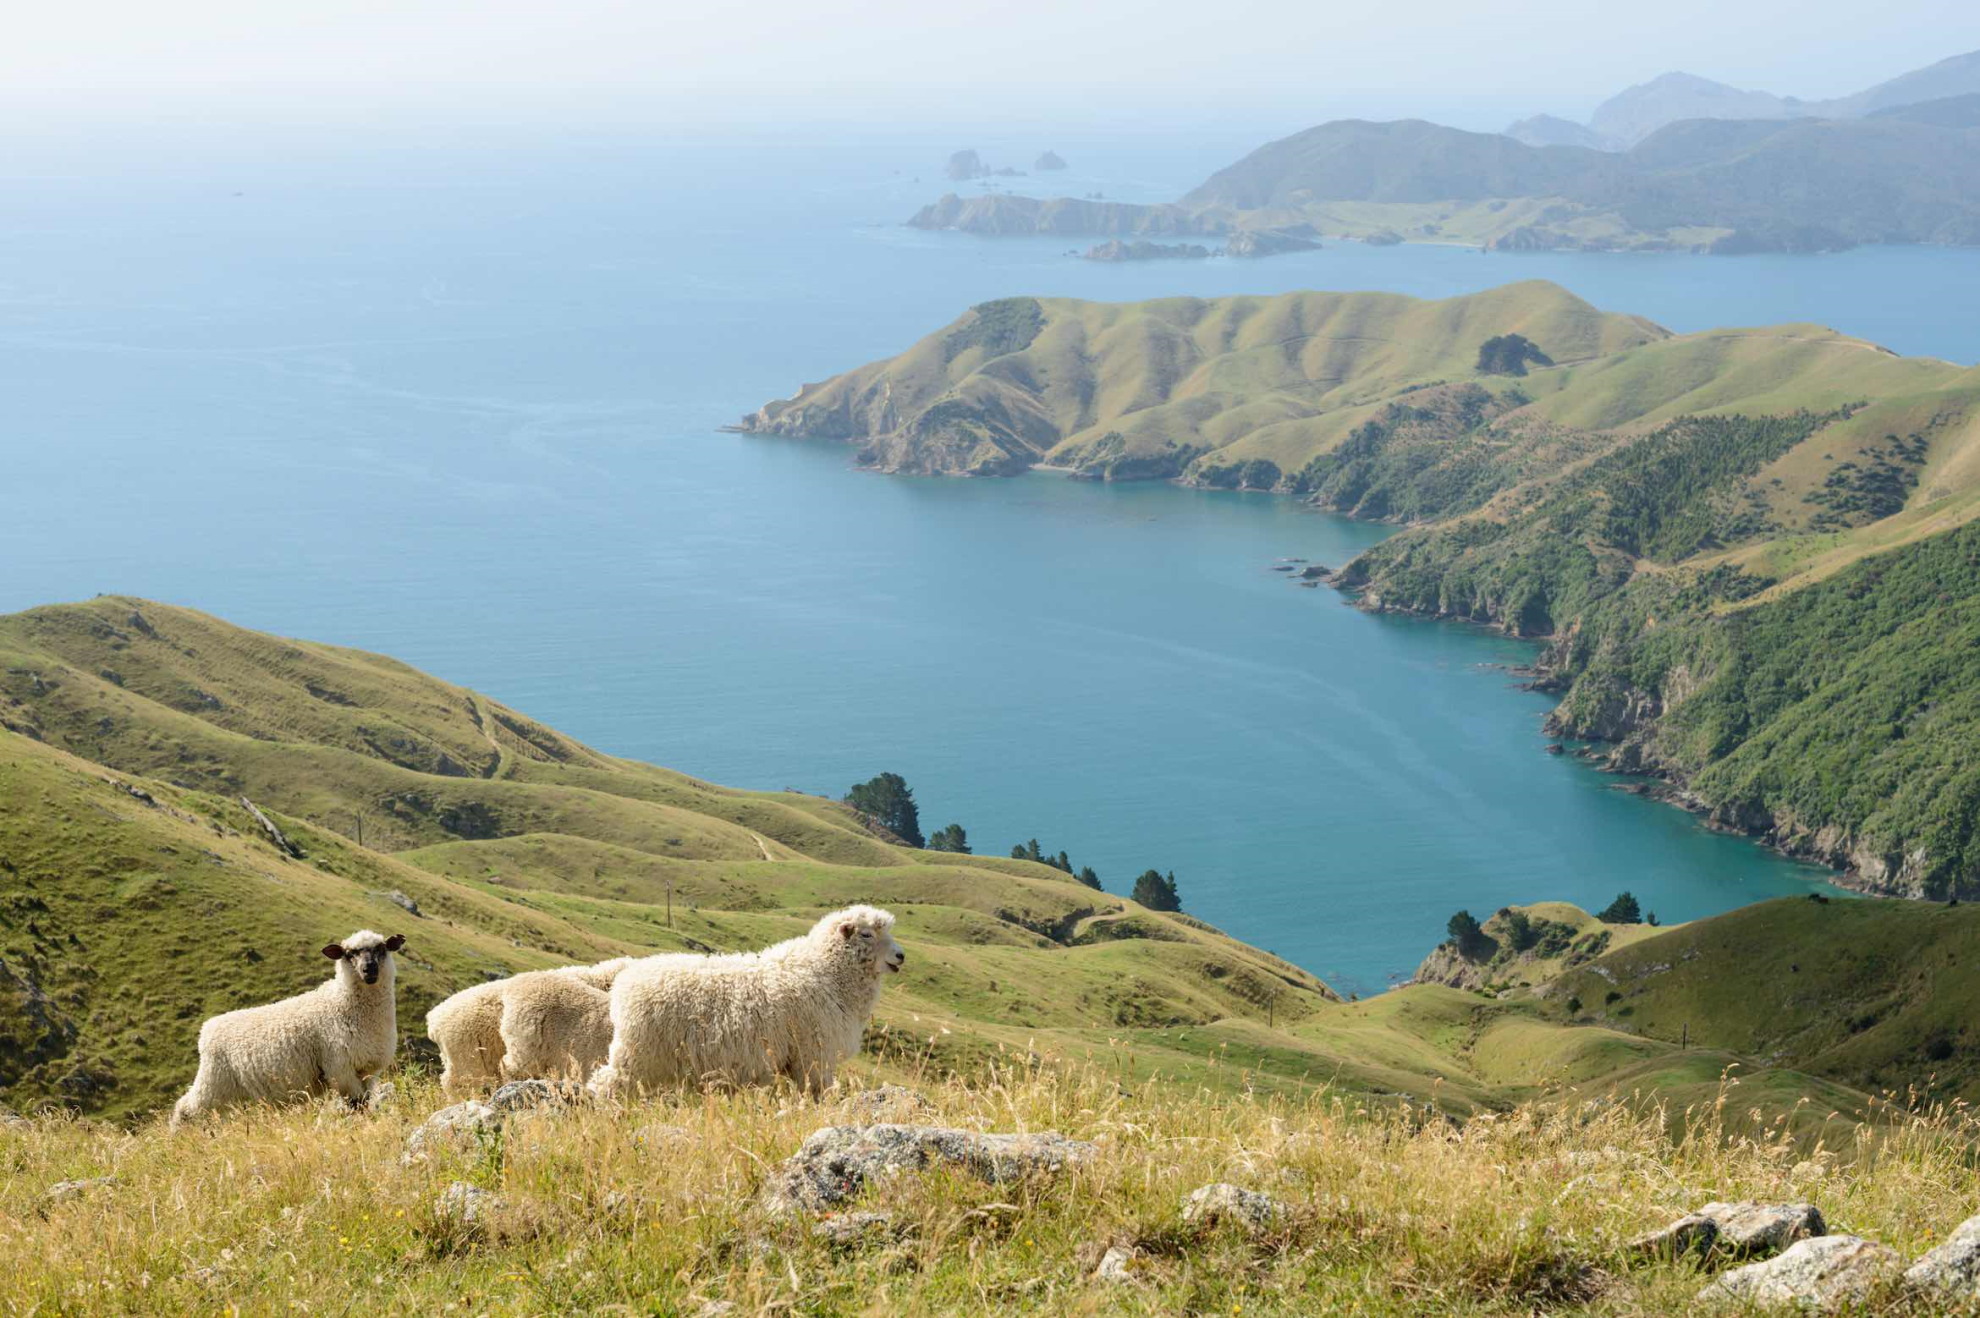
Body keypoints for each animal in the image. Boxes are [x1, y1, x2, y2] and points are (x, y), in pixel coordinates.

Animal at [174, 922, 409, 1131]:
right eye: (349, 954)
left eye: (381, 948)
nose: (369, 969)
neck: (343, 1004)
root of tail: (207, 1028)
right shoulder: (340, 1068)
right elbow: (355, 1103)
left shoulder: (368, 1070)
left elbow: (365, 1102)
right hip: (215, 1080)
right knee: (187, 1108)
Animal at [582, 898, 902, 1092]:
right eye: (866, 934)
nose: (901, 956)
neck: (824, 970)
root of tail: (625, 983)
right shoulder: (813, 1053)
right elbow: (815, 1093)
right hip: (639, 1053)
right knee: (607, 1083)